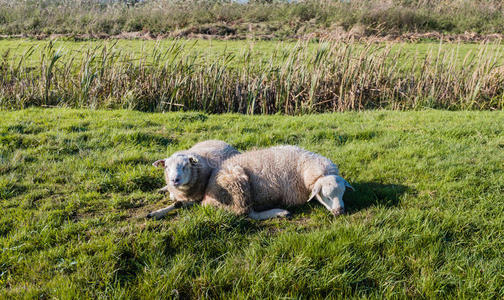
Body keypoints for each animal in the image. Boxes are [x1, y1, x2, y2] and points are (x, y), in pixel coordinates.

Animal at [202, 145, 354, 220]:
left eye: (342, 194)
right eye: (327, 196)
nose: (340, 212)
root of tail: (206, 199)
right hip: (238, 186)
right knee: (247, 213)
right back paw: (280, 213)